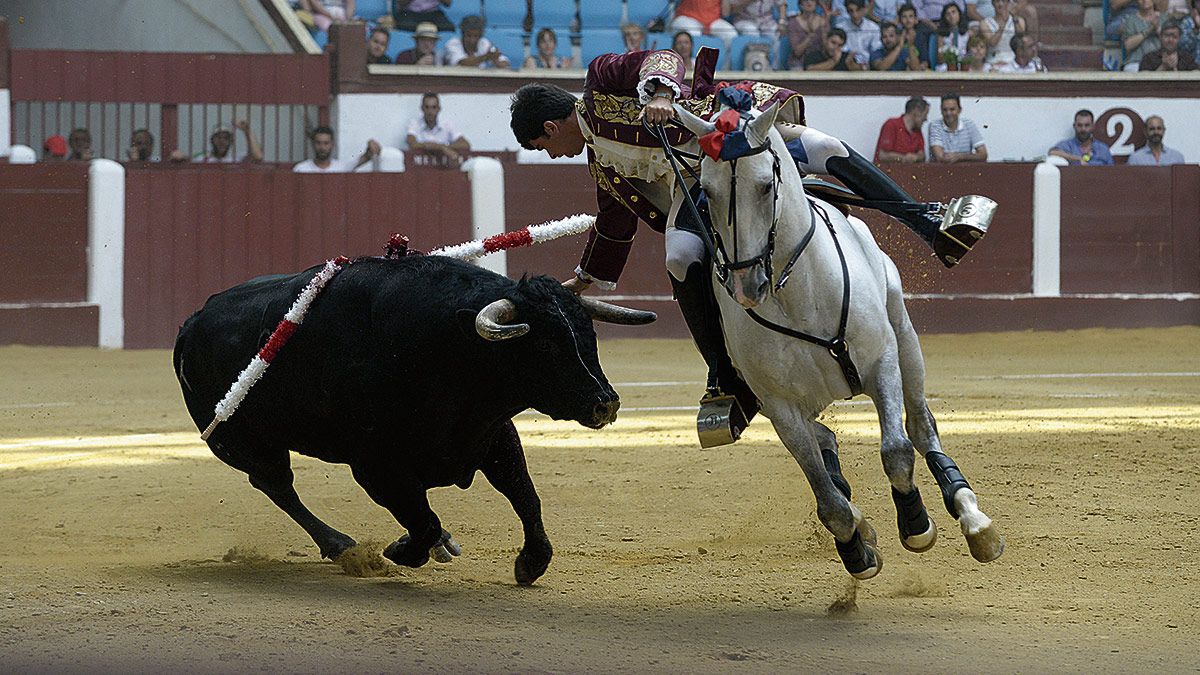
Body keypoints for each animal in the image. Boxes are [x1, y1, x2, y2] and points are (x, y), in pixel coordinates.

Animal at [174, 254, 652, 581]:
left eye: (589, 334)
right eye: (546, 345)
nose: (606, 403)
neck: (447, 347)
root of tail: (192, 322)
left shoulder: (492, 436)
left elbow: (525, 497)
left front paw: (531, 563)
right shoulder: (376, 466)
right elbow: (422, 519)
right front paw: (401, 550)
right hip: (241, 442)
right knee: (275, 484)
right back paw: (341, 546)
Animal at [676, 102, 1003, 576]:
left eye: (765, 185)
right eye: (705, 190)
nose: (747, 286)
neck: (799, 297)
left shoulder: (881, 362)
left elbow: (896, 452)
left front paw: (916, 525)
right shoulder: (780, 407)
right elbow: (829, 500)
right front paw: (858, 550)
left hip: (905, 336)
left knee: (920, 426)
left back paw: (973, 519)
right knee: (828, 443)